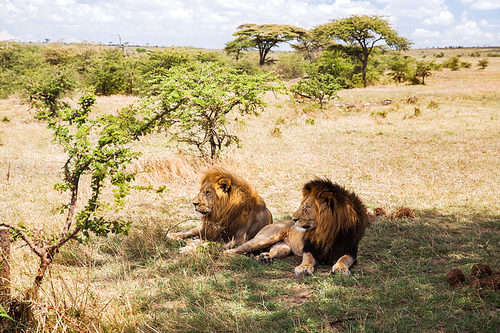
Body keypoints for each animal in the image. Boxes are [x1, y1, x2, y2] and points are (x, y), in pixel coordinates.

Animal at [229, 178, 370, 276]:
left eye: (306, 207)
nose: (294, 219)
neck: (326, 232)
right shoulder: (310, 248)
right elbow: (307, 258)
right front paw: (304, 268)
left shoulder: (350, 251)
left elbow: (343, 259)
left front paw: (341, 268)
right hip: (264, 239)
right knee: (234, 250)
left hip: (283, 248)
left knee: (272, 251)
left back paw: (265, 257)